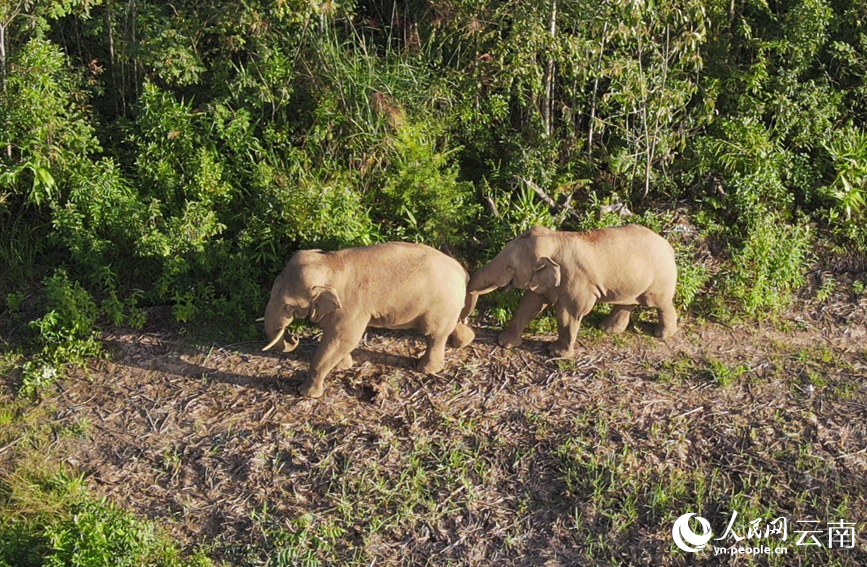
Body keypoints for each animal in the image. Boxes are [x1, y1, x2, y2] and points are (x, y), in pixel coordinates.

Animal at [264, 242, 478, 398]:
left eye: (287, 306)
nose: (294, 338)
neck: (329, 263)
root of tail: (462, 271)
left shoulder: (352, 306)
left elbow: (342, 339)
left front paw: (306, 393)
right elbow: (337, 339)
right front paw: (343, 366)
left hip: (441, 304)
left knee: (434, 334)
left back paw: (427, 369)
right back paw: (464, 341)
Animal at [464, 224, 680, 358]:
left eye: (510, 267)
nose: (466, 322)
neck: (556, 238)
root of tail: (669, 246)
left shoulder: (578, 281)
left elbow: (569, 313)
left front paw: (555, 353)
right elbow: (529, 304)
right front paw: (505, 343)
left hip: (660, 281)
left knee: (660, 303)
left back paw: (662, 334)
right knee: (627, 302)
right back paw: (607, 329)